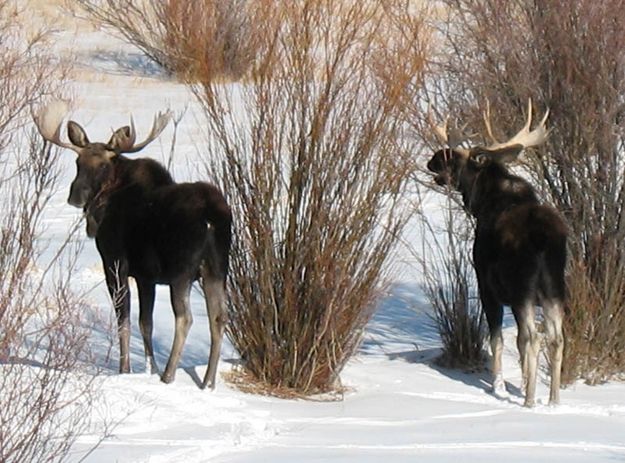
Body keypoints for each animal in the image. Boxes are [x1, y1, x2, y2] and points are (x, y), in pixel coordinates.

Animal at [33, 99, 232, 390]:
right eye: (78, 161)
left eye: (103, 166)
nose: (76, 195)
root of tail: (211, 218)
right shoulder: (147, 276)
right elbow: (145, 323)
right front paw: (149, 369)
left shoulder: (115, 263)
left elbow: (123, 320)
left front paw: (124, 369)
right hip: (217, 269)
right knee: (218, 318)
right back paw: (208, 382)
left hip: (182, 270)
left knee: (185, 318)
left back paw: (169, 375)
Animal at [426, 100, 568, 406]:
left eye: (456, 158)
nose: (432, 160)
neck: (481, 204)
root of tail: (544, 238)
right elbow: (517, 342)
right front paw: (523, 383)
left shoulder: (487, 286)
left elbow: (498, 340)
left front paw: (499, 387)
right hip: (555, 289)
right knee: (556, 338)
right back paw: (553, 401)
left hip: (522, 288)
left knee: (534, 337)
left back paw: (529, 401)